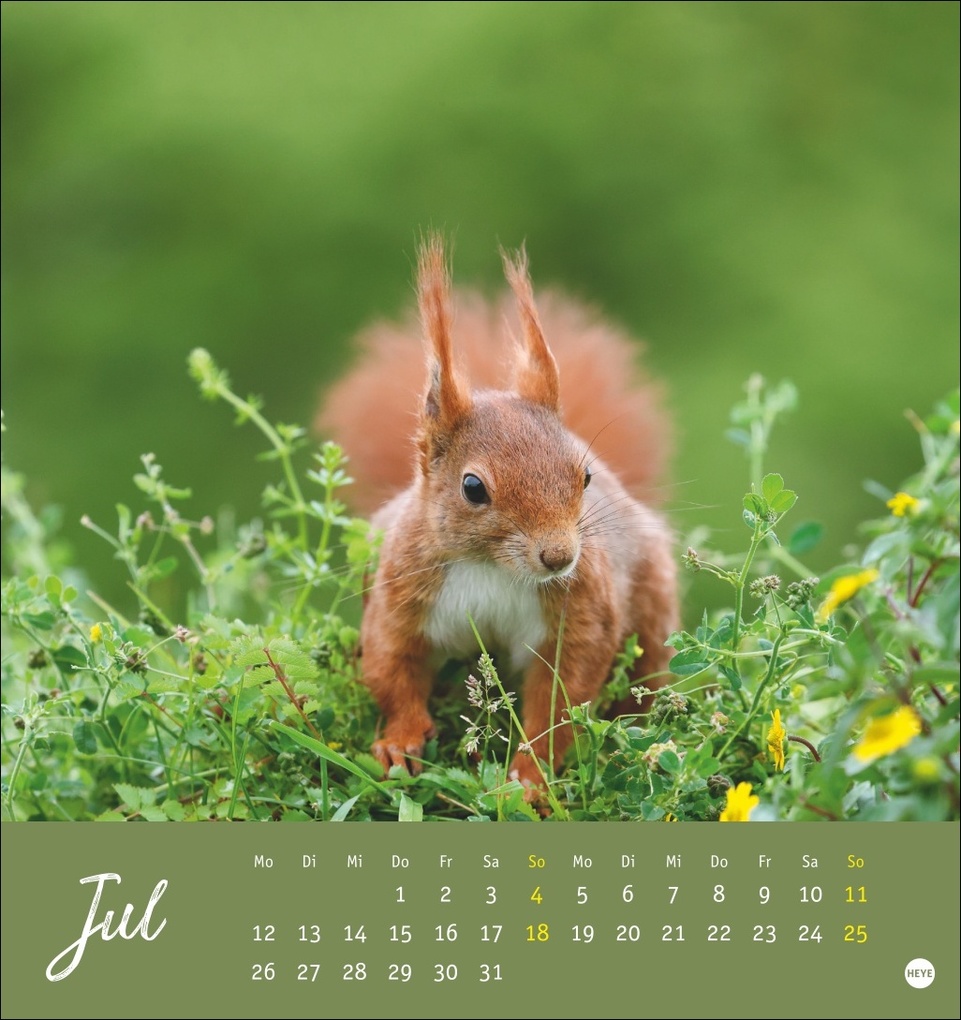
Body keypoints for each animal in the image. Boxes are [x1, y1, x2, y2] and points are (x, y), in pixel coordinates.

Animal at [317, 234, 678, 794]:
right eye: (473, 488)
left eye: (586, 476)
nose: (559, 557)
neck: (491, 567)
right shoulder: (400, 596)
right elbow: (392, 669)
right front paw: (399, 741)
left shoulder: (580, 614)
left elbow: (560, 701)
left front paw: (531, 777)